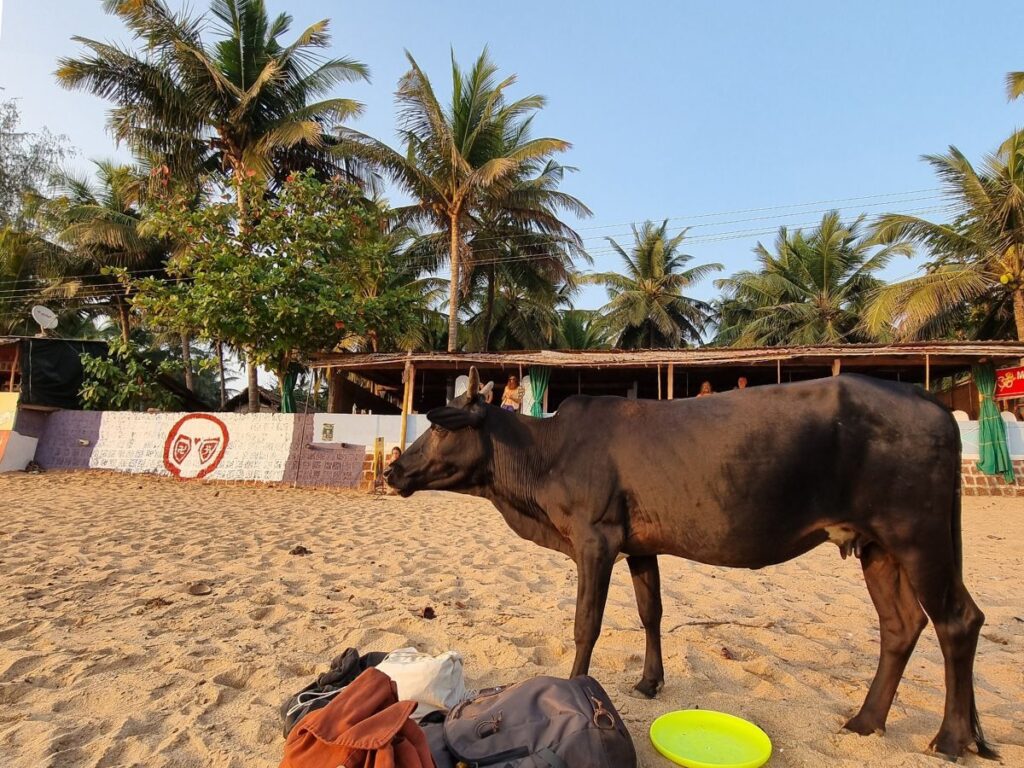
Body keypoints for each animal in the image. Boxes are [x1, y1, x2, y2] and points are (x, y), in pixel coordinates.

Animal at [387, 368, 995, 765]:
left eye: (439, 428)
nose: (393, 471)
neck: (543, 457)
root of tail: (925, 397)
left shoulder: (595, 539)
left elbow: (587, 623)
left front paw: (577, 686)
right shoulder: (639, 545)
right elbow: (650, 611)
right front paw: (649, 681)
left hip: (917, 535)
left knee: (957, 621)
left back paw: (950, 739)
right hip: (877, 547)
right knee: (901, 626)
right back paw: (866, 722)